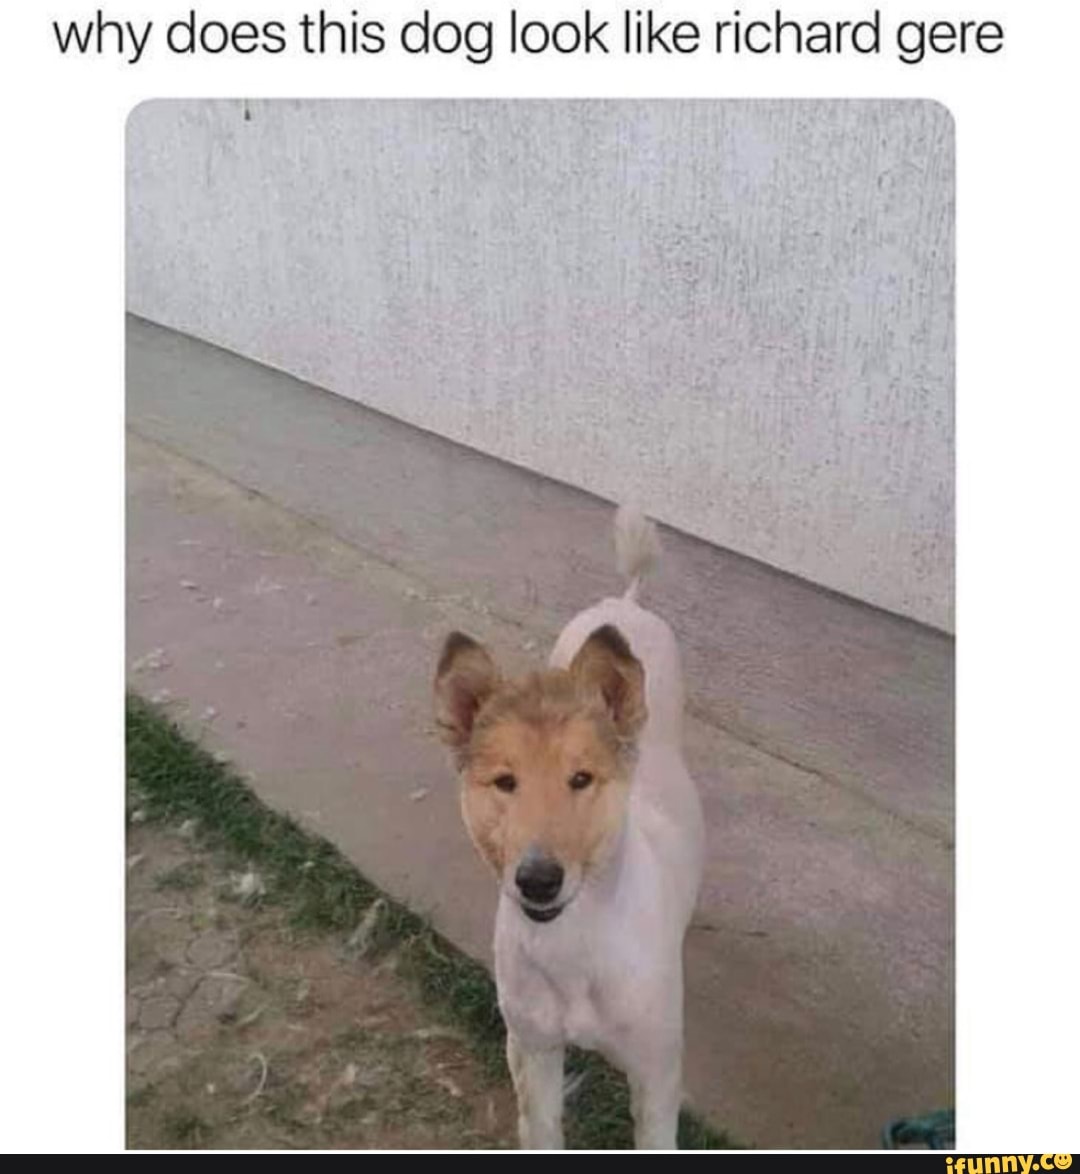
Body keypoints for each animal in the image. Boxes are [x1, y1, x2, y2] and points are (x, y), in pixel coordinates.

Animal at [434, 504, 704, 1145]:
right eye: (504, 782)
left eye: (581, 778)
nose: (538, 880)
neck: (576, 943)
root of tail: (626, 602)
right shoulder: (530, 1049)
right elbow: (540, 1128)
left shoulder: (657, 1073)